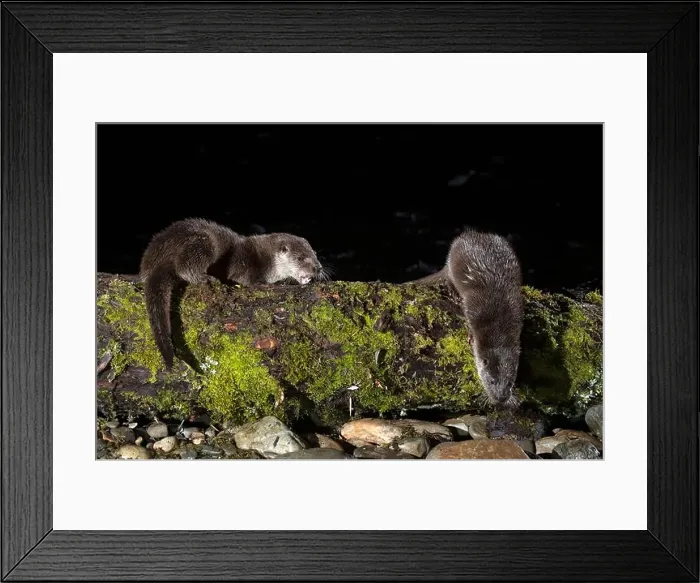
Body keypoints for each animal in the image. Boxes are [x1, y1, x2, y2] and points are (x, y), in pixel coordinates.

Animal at [139, 217, 325, 369]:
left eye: (315, 254)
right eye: (301, 258)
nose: (318, 268)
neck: (265, 260)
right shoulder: (244, 263)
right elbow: (244, 280)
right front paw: (273, 284)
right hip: (203, 241)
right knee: (185, 266)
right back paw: (205, 278)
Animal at [407, 229, 524, 409]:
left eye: (510, 383)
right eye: (491, 381)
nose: (501, 398)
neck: (499, 323)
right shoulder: (475, 307)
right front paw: (470, 337)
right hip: (453, 259)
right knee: (449, 277)